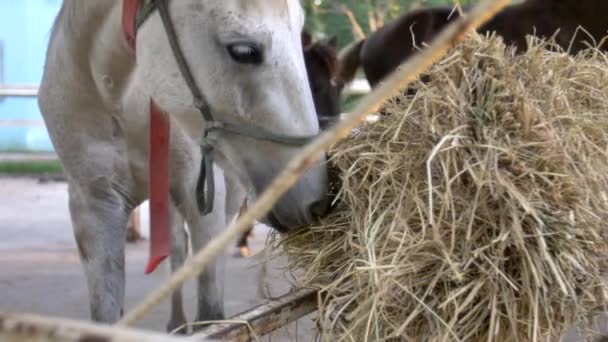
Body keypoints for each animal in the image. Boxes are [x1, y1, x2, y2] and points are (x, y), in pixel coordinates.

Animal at [38, 0, 328, 332]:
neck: (117, 98)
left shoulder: (201, 202)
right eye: (243, 51)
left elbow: (212, 318)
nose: (316, 198)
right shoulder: (94, 207)